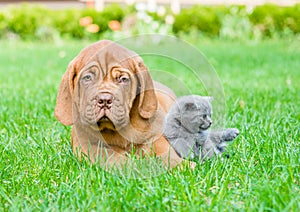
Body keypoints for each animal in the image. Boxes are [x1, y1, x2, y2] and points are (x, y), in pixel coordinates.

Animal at [55, 39, 183, 168]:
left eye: (123, 79)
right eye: (87, 78)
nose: (104, 100)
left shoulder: (156, 138)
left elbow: (167, 154)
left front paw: (178, 164)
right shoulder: (89, 145)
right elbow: (113, 158)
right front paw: (136, 166)